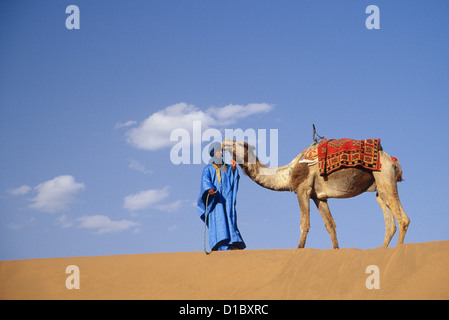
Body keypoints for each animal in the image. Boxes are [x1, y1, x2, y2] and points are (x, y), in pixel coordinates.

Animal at [221, 139, 410, 249]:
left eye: (240, 143)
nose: (223, 142)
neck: (287, 173)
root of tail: (392, 161)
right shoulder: (319, 197)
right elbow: (331, 226)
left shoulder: (302, 190)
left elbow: (304, 224)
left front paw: (298, 249)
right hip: (380, 187)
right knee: (391, 221)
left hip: (384, 176)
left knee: (402, 219)